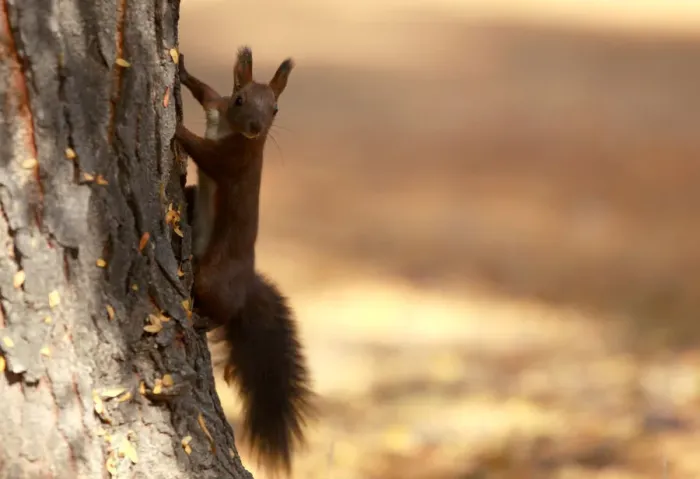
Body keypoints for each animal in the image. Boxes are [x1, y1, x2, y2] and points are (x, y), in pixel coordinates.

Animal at [176, 46, 315, 475]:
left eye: (276, 109)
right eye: (240, 99)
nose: (255, 127)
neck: (231, 130)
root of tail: (247, 281)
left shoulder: (234, 159)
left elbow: (205, 154)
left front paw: (178, 131)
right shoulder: (217, 106)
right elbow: (205, 91)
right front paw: (181, 71)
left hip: (212, 278)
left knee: (221, 310)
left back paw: (201, 320)